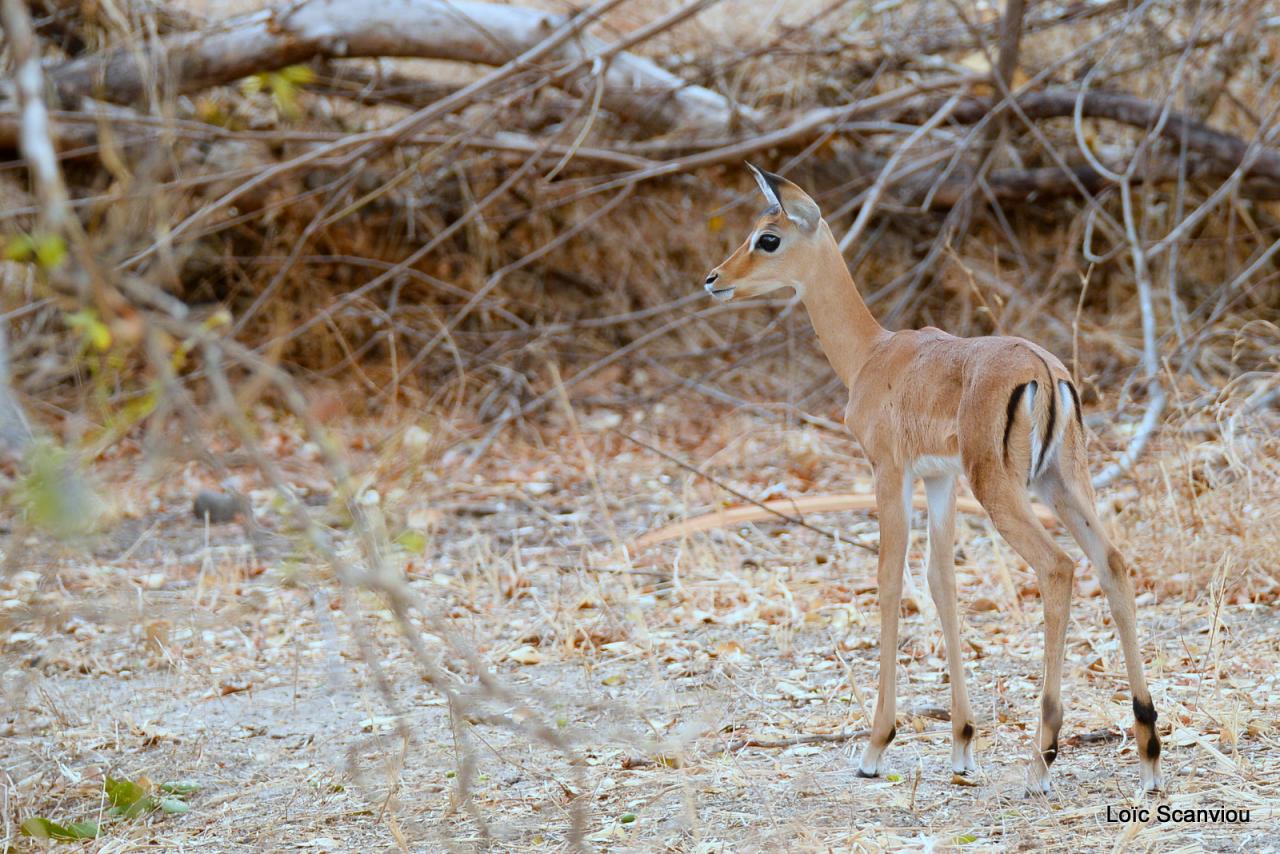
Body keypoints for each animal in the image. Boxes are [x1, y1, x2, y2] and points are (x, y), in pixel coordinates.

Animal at [706, 165, 1167, 793]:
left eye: (768, 239)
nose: (714, 279)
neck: (873, 356)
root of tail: (1044, 371)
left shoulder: (889, 472)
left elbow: (889, 579)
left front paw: (875, 747)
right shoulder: (939, 480)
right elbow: (942, 582)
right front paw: (962, 745)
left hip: (1002, 491)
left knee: (1058, 567)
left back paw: (1041, 758)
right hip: (1062, 484)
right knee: (1113, 563)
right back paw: (1148, 752)